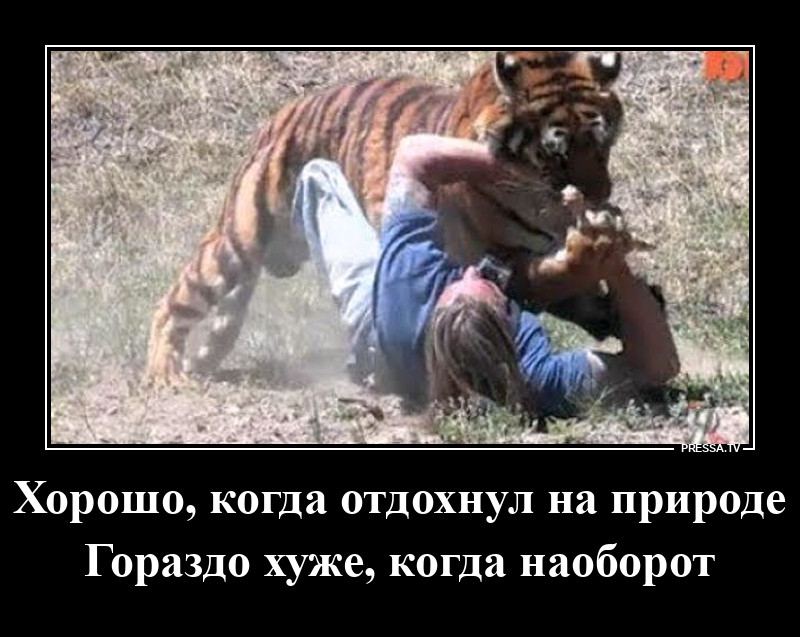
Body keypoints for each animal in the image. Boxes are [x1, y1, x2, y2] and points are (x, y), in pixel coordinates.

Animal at [146, 50, 627, 385]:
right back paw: (165, 373)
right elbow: (551, 279)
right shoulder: (491, 257)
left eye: (602, 145)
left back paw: (201, 361)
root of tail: (282, 114)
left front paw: (604, 306)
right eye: (557, 155)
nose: (600, 194)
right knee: (176, 299)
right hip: (241, 239)